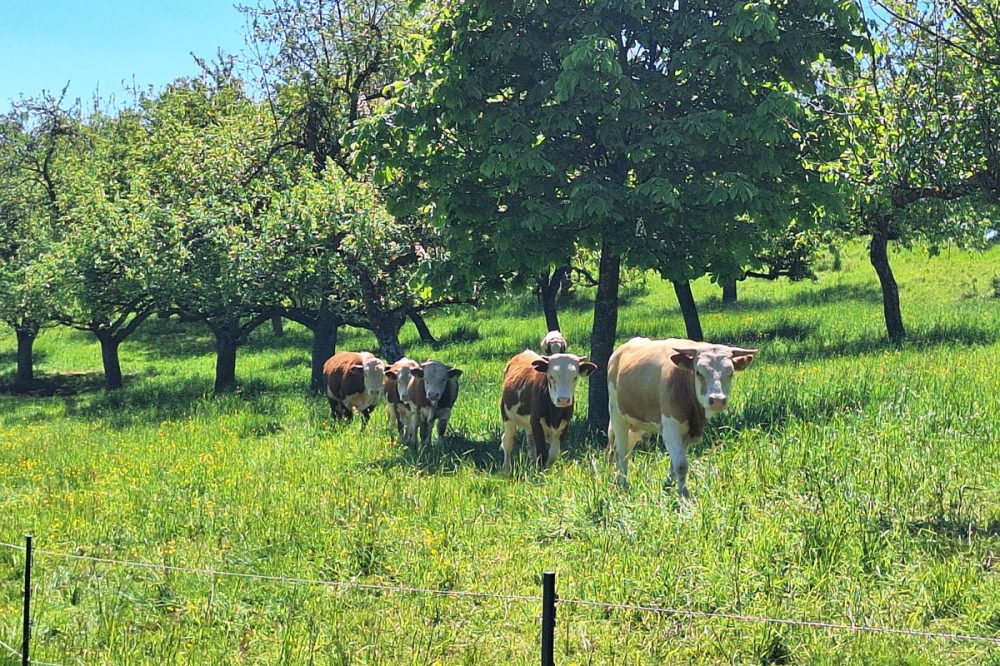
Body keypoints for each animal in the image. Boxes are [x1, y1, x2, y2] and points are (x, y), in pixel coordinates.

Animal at [607, 338, 757, 497]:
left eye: (731, 373)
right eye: (698, 372)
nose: (717, 400)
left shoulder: (690, 433)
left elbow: (675, 463)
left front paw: (667, 487)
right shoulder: (670, 428)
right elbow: (681, 464)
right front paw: (684, 495)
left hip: (637, 422)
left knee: (627, 447)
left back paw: (617, 481)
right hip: (617, 415)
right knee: (621, 451)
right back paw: (623, 484)